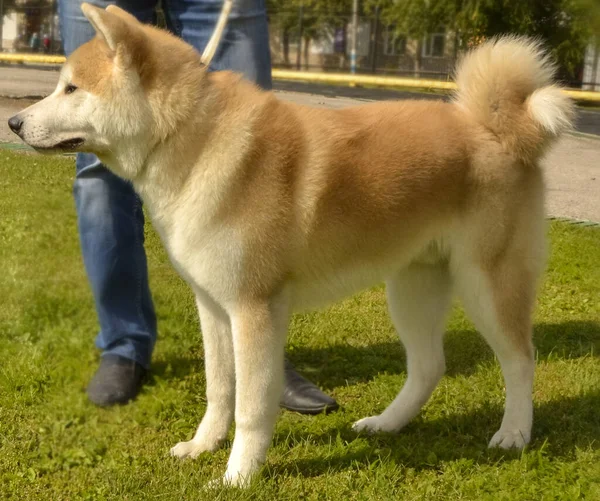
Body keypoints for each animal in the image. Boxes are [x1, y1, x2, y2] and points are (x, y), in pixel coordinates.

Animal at [8, 2, 572, 488]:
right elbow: (219, 388)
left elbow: (252, 406)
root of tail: (497, 128)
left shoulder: (254, 309)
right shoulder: (213, 306)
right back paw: (386, 424)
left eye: (71, 88)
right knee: (429, 367)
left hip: (487, 283)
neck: (191, 139)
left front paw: (237, 477)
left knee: (520, 359)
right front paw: (202, 446)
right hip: (413, 287)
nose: (14, 122)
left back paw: (514, 433)